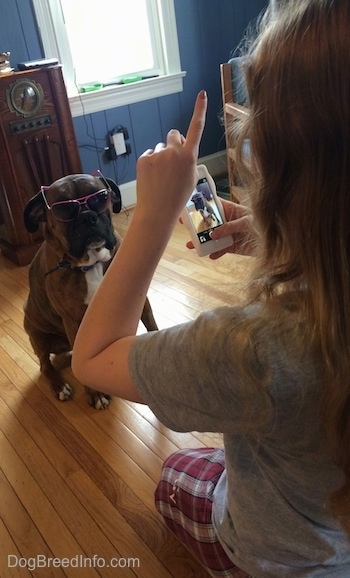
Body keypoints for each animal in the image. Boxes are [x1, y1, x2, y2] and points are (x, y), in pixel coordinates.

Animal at [22, 173, 157, 408]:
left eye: (99, 197)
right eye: (64, 208)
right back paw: (60, 386)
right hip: (36, 333)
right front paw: (95, 393)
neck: (92, 263)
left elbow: (152, 326)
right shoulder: (74, 320)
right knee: (45, 366)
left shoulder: (139, 299)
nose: (87, 217)